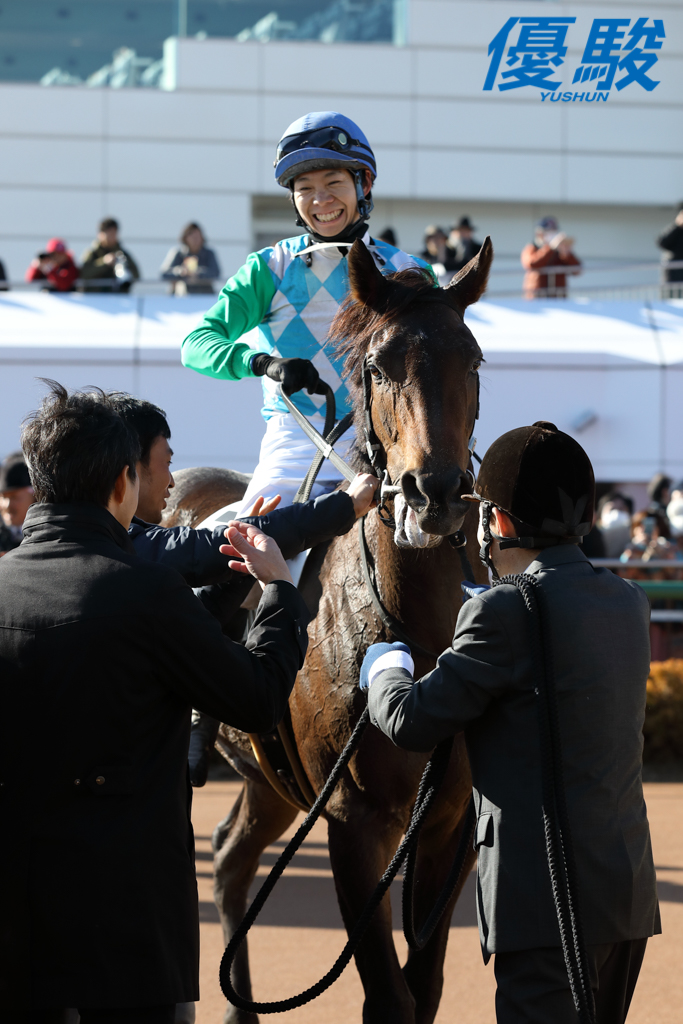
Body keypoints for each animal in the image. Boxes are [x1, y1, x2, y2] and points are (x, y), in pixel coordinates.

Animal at [166, 239, 497, 1024]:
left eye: (472, 360)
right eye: (377, 366)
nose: (433, 494)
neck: (420, 640)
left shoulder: (448, 826)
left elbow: (424, 987)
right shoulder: (354, 822)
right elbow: (389, 995)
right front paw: (283, 368)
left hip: (269, 778)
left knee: (229, 855)